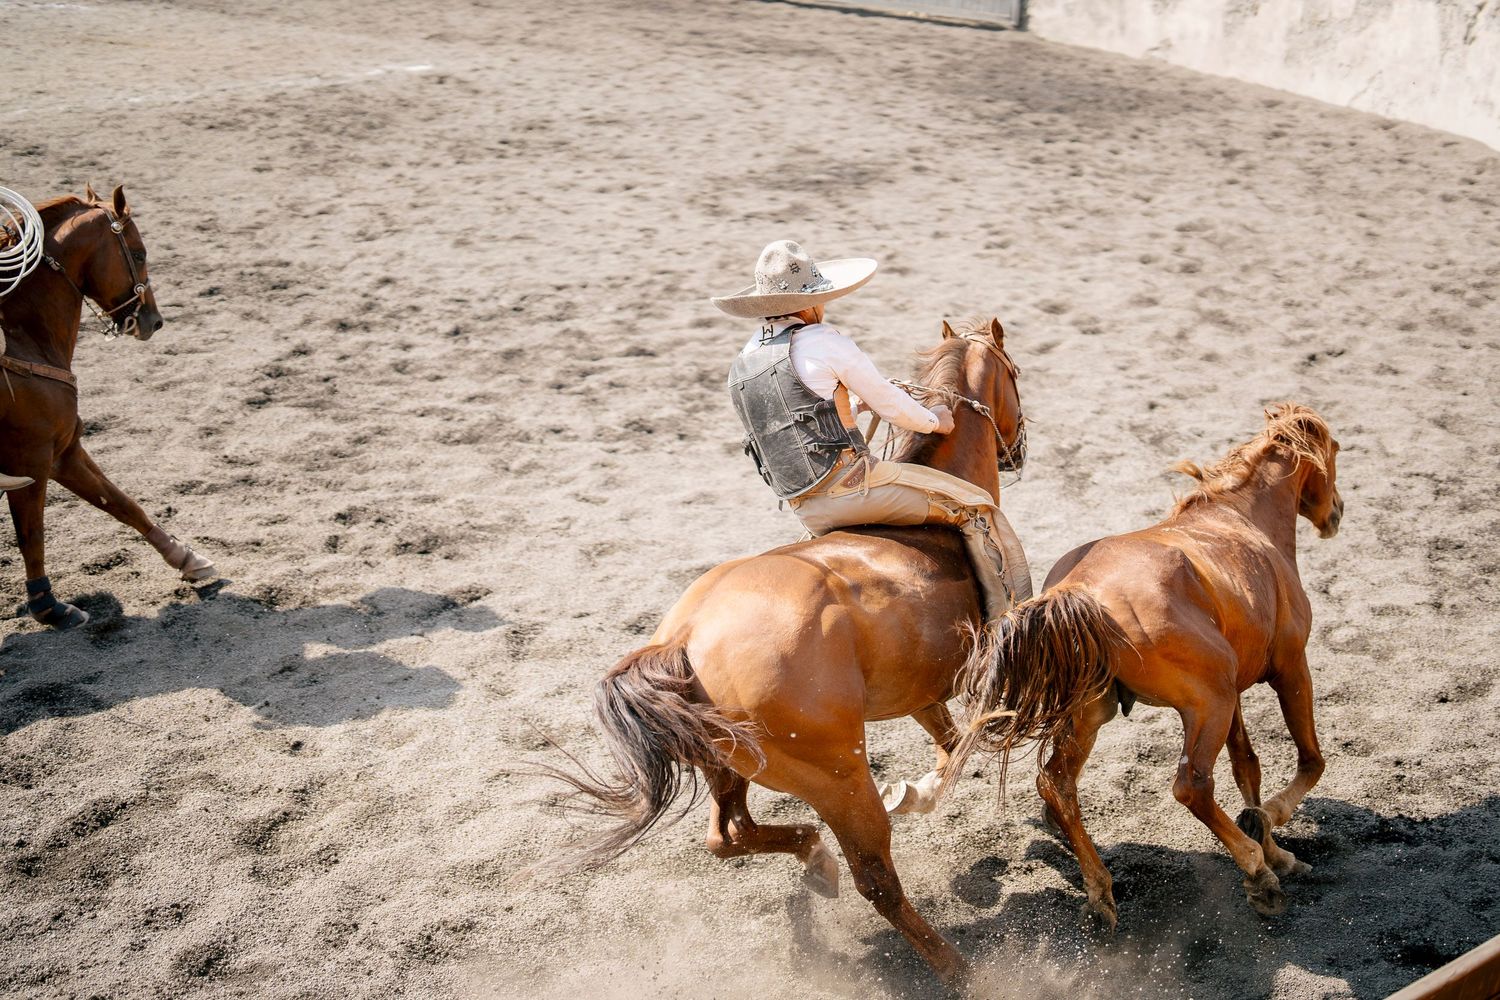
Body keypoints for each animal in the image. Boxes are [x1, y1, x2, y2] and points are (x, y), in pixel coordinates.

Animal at [0, 185, 216, 630]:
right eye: (139, 253)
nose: (154, 320)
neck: (20, 340)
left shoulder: (63, 451)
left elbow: (119, 502)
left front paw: (186, 557)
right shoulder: (30, 462)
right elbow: (32, 535)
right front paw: (49, 607)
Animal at [553, 318, 1027, 986]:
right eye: (1016, 374)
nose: (1020, 448)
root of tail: (682, 637)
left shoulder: (923, 691)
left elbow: (949, 740)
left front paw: (922, 788)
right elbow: (964, 742)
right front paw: (922, 791)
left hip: (728, 765)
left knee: (728, 835)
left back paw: (816, 863)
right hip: (839, 778)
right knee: (875, 879)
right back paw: (955, 966)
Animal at [956, 403, 1342, 928]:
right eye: (1336, 450)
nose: (1336, 512)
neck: (1244, 521)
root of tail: (1080, 591)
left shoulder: (1237, 690)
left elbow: (1247, 765)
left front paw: (1275, 846)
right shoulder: (1289, 667)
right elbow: (1310, 759)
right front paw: (1270, 830)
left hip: (1097, 713)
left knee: (1056, 782)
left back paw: (1100, 891)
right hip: (1206, 704)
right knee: (1190, 786)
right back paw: (1256, 873)